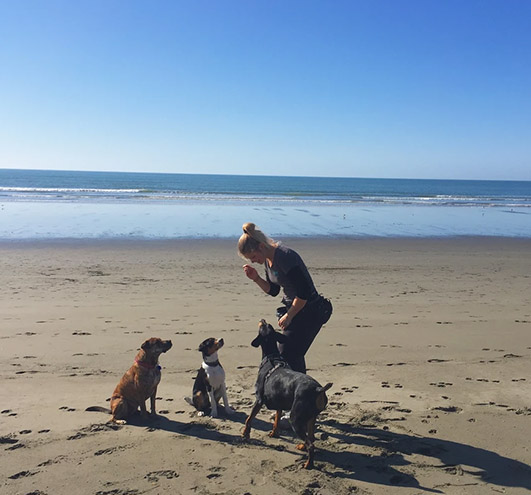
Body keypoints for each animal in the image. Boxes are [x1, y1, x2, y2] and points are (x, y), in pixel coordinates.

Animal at [242, 322, 332, 468]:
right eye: (268, 325)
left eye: (263, 326)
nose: (263, 319)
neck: (272, 356)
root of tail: (318, 389)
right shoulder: (279, 402)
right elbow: (277, 420)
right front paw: (274, 433)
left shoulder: (259, 400)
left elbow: (249, 419)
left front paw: (245, 434)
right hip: (311, 417)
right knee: (311, 438)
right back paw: (302, 447)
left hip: (295, 419)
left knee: (311, 444)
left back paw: (308, 464)